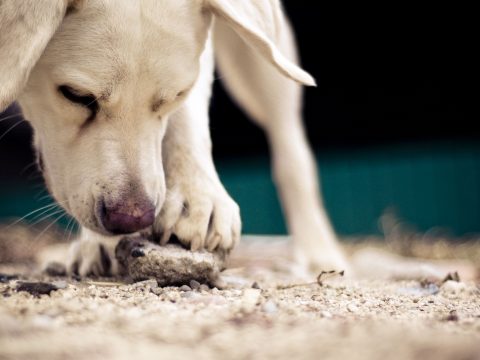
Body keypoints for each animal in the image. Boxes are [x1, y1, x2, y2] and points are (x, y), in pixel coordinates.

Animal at [0, 0, 344, 278]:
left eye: (177, 94)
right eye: (76, 95)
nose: (131, 220)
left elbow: (186, 118)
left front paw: (197, 196)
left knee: (289, 148)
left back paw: (318, 252)